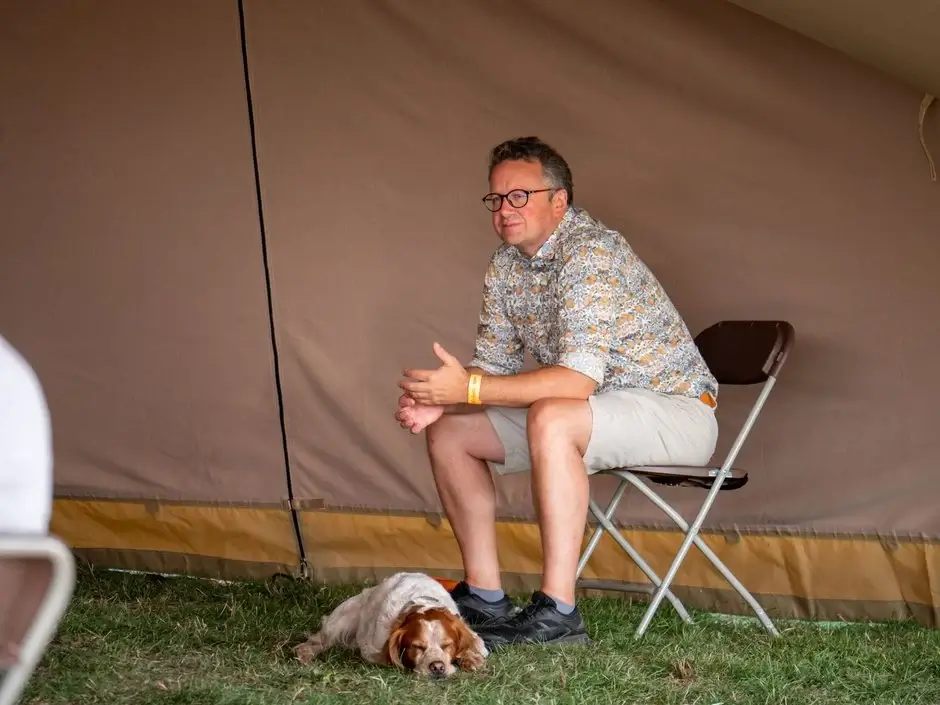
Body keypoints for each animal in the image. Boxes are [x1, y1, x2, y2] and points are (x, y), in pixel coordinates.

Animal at [292, 568, 484, 680]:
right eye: (417, 646)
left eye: (447, 645)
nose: (437, 667)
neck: (422, 601)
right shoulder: (372, 648)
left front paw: (471, 659)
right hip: (341, 619)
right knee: (320, 639)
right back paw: (304, 653)